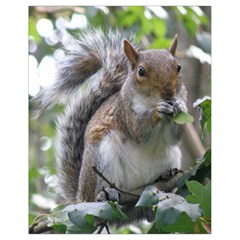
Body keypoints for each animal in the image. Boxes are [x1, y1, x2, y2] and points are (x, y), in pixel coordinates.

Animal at [35, 27, 188, 208]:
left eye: (178, 67)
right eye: (141, 71)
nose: (168, 93)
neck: (150, 101)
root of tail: (80, 198)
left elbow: (174, 137)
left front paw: (180, 106)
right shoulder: (124, 111)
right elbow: (139, 131)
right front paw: (158, 111)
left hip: (173, 155)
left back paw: (166, 174)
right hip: (100, 158)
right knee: (98, 190)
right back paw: (105, 194)